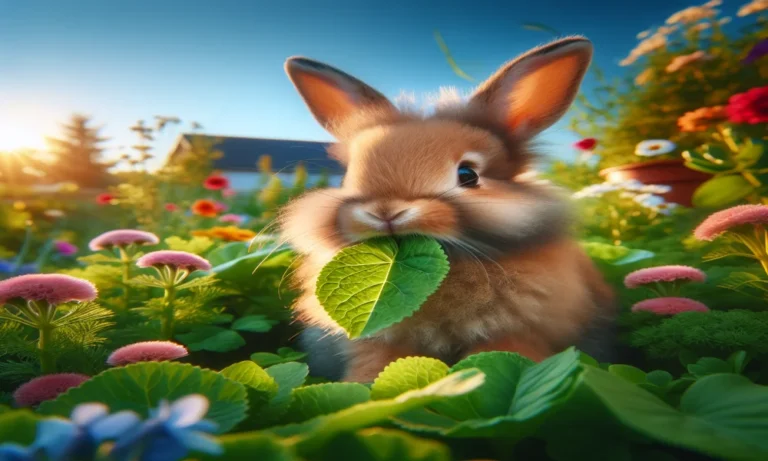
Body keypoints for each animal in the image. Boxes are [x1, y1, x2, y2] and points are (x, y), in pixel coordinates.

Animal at [279, 36, 618, 383]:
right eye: (348, 177)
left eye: (468, 175)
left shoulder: (517, 332)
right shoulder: (378, 341)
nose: (385, 212)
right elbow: (377, 369)